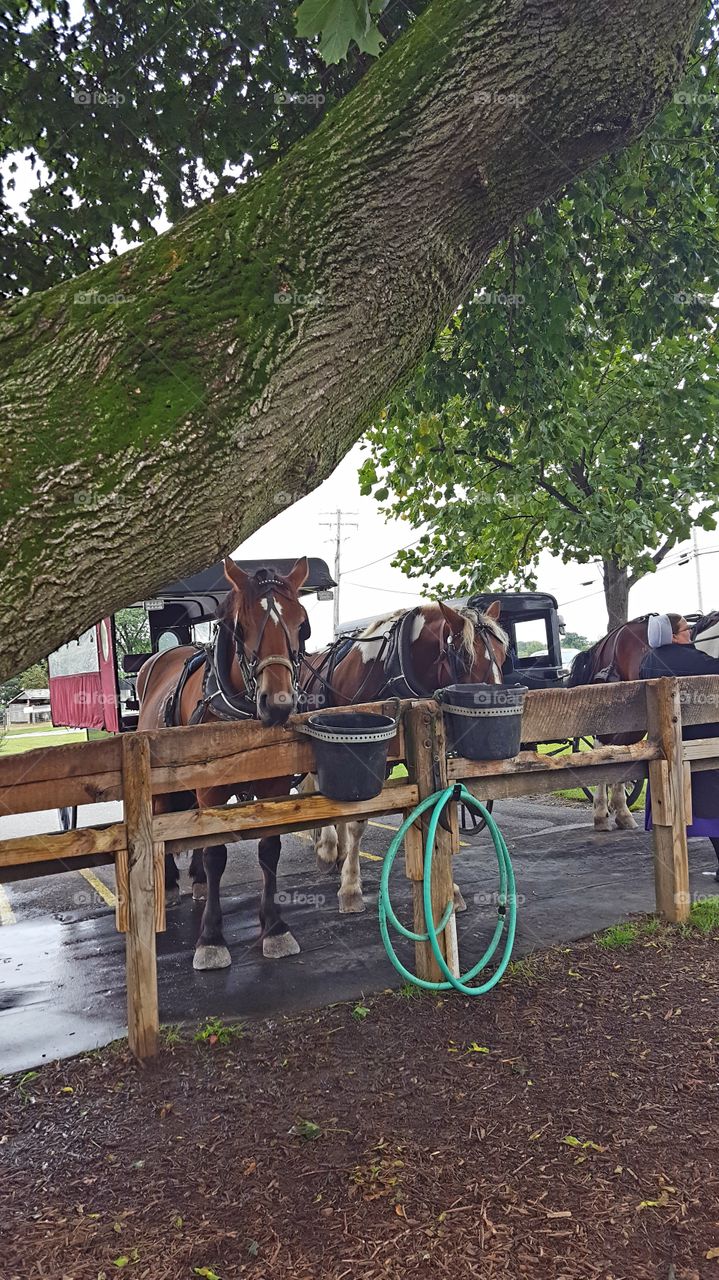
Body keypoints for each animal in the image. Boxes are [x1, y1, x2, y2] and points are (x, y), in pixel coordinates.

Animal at [136, 557, 311, 969]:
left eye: (302, 624)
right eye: (240, 627)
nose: (278, 704)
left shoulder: (274, 786)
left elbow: (269, 849)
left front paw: (274, 927)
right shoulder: (210, 788)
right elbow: (216, 853)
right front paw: (211, 939)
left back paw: (197, 880)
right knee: (166, 818)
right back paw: (170, 884)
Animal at [299, 600, 509, 913]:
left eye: (504, 653)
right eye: (464, 658)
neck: (388, 667)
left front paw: (450, 889)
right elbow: (358, 820)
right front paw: (350, 888)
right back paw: (327, 849)